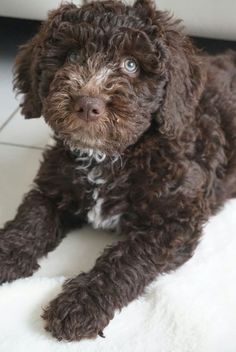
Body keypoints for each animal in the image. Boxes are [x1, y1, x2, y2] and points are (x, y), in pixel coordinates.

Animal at [0, 0, 236, 342]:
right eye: (72, 55)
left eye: (131, 65)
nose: (87, 104)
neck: (108, 158)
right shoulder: (53, 187)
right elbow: (29, 220)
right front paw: (6, 253)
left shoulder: (174, 221)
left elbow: (127, 258)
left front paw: (81, 303)